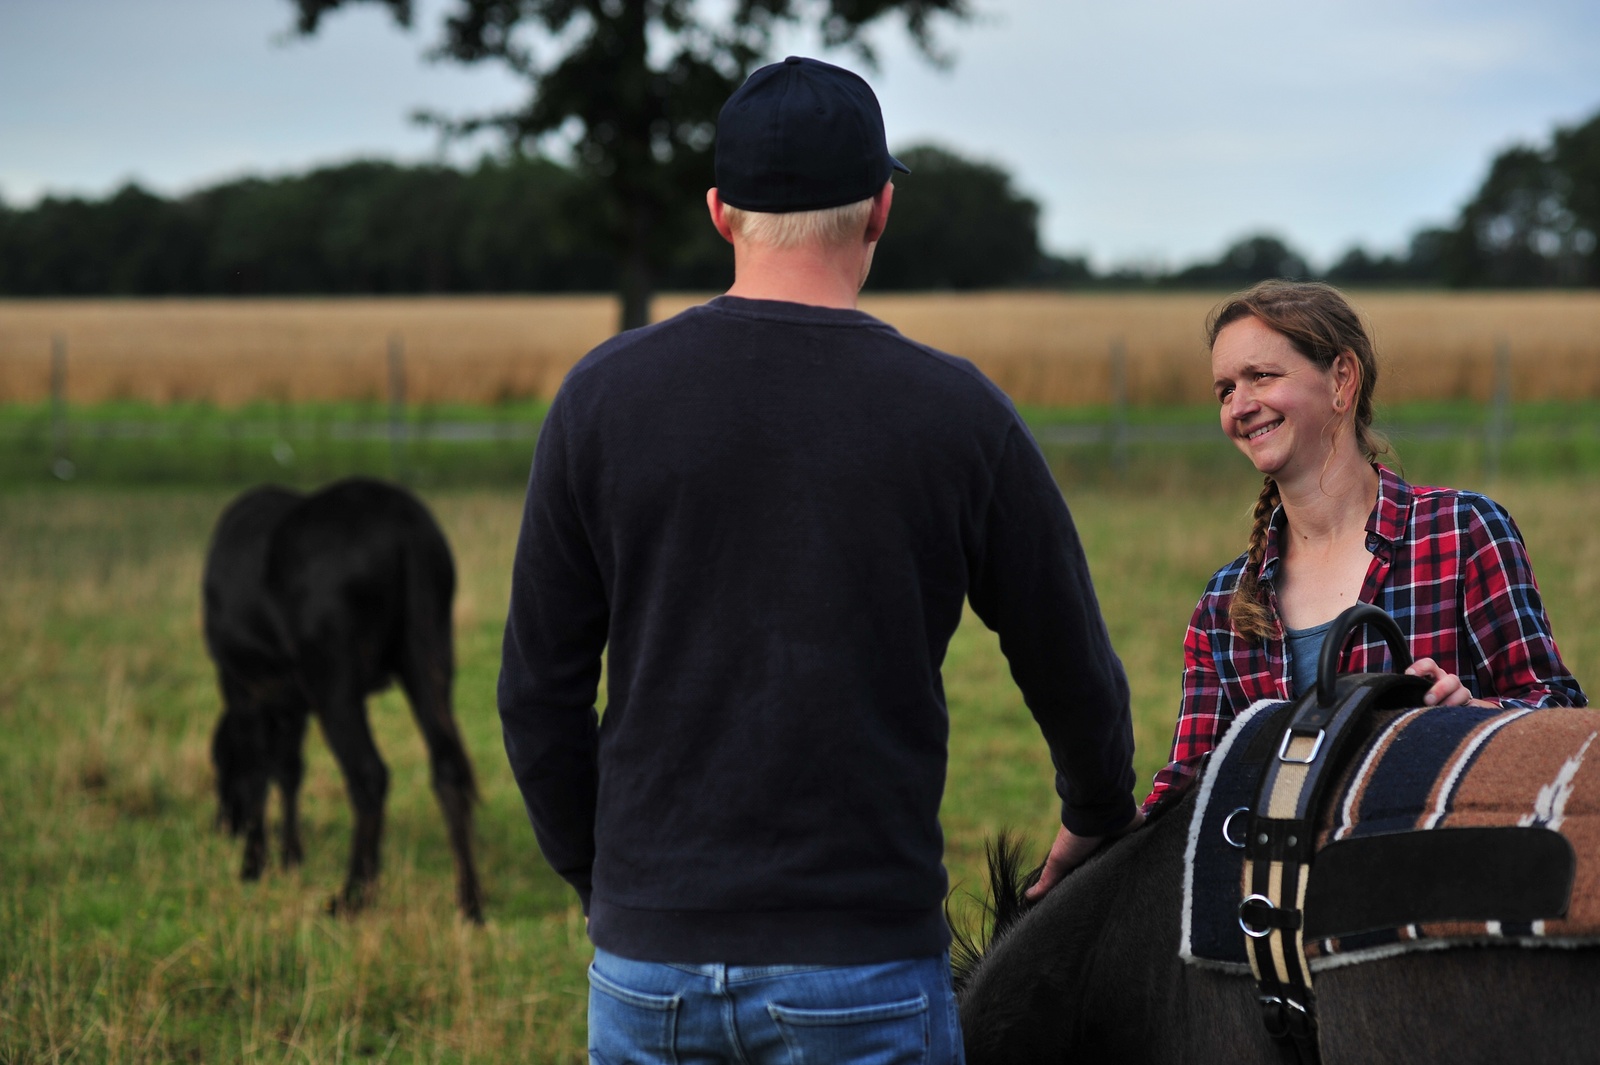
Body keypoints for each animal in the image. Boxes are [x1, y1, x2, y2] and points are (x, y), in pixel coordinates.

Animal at [198, 476, 480, 914]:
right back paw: (468, 904)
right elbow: (288, 768)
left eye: (218, 760)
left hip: (334, 677)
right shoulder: (291, 700)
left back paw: (352, 896)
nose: (223, 825)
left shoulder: (244, 683)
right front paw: (290, 856)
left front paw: (253, 864)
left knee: (368, 773)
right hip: (429, 652)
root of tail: (405, 524)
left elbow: (258, 770)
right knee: (449, 766)